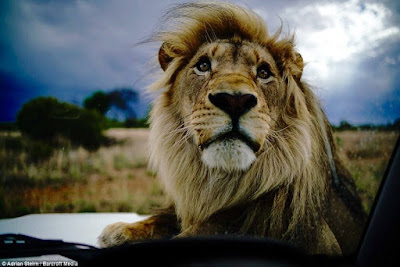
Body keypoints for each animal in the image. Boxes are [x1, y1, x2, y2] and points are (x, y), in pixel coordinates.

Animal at [98, 2, 368, 256]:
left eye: (264, 72)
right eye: (203, 65)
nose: (234, 100)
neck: (225, 181)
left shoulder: (321, 238)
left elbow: (203, 230)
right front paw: (119, 231)